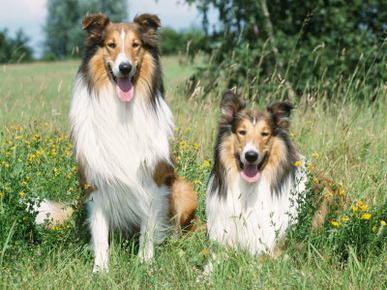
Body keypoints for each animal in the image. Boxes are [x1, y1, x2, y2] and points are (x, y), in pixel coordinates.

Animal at [68, 13, 197, 272]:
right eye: (111, 45)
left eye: (135, 45)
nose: (125, 68)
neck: (123, 109)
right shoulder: (96, 184)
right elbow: (100, 233)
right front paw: (100, 269)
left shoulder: (152, 180)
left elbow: (148, 228)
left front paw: (145, 262)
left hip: (182, 190)